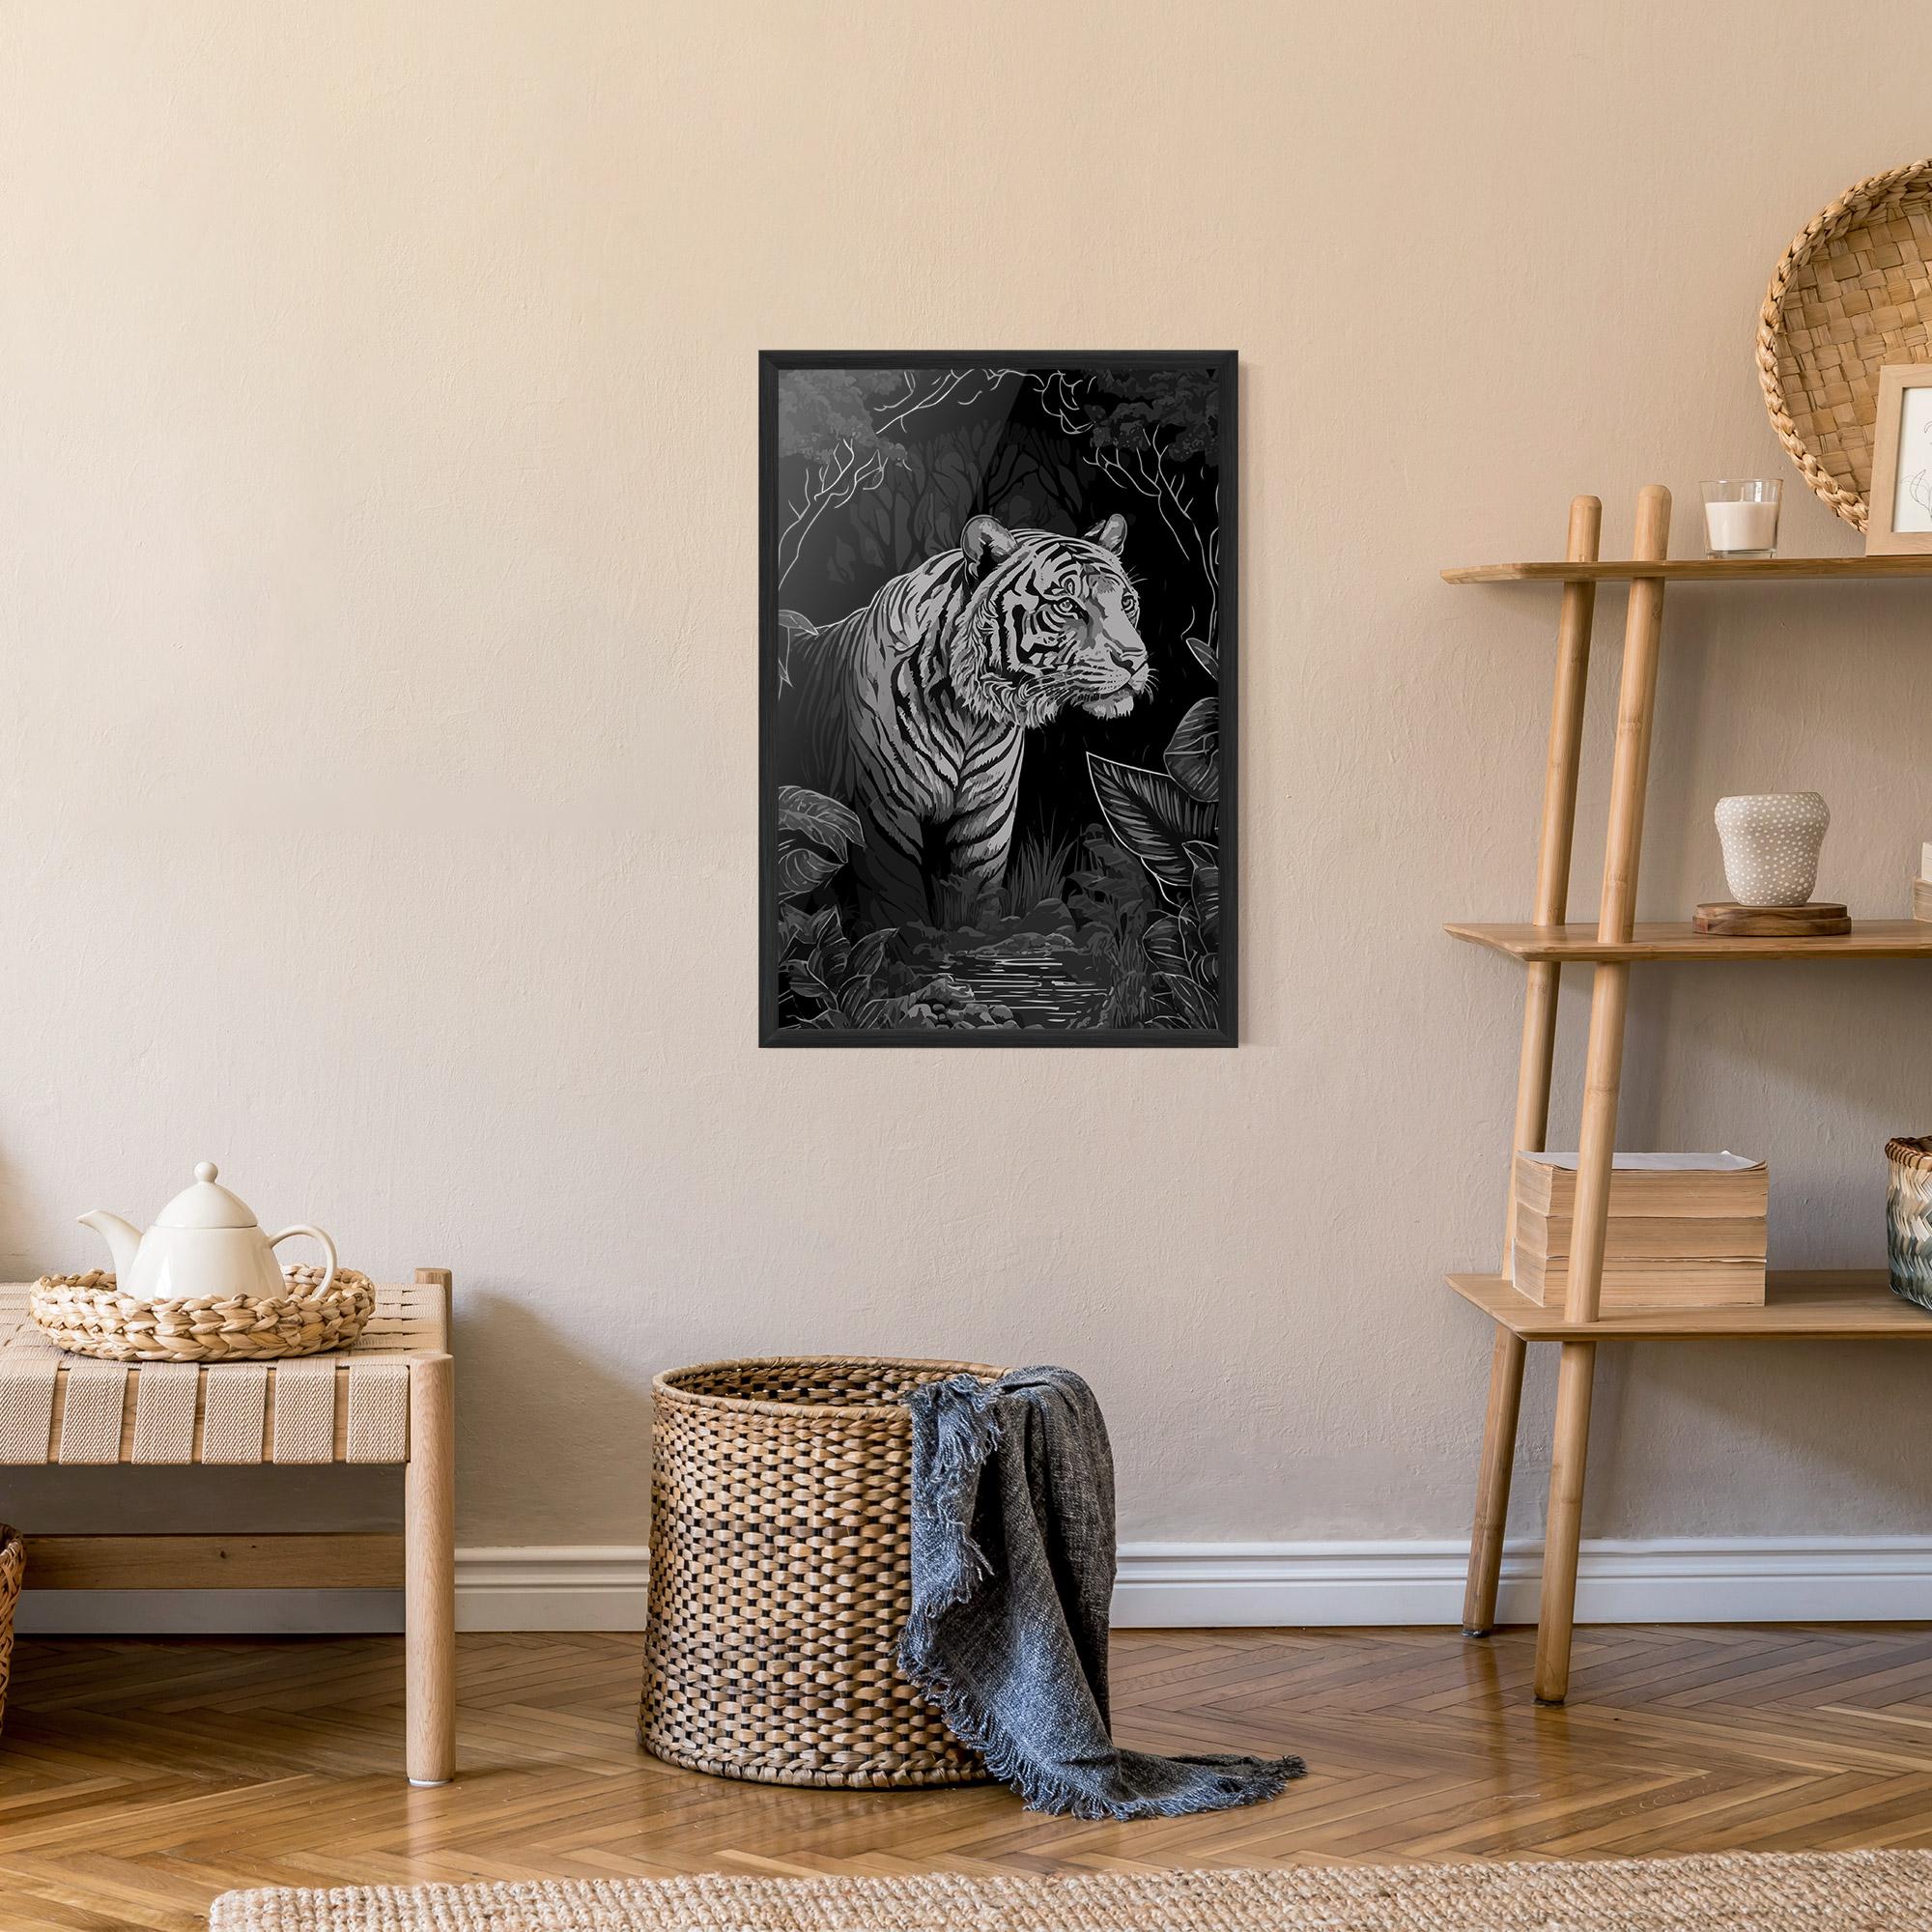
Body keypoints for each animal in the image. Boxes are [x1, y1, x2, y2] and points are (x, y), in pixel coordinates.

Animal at [775, 513, 1148, 931]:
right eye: (1067, 605)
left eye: (1126, 602)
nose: (1135, 660)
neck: (969, 716)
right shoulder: (884, 813)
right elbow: (896, 906)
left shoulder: (988, 816)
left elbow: (977, 896)